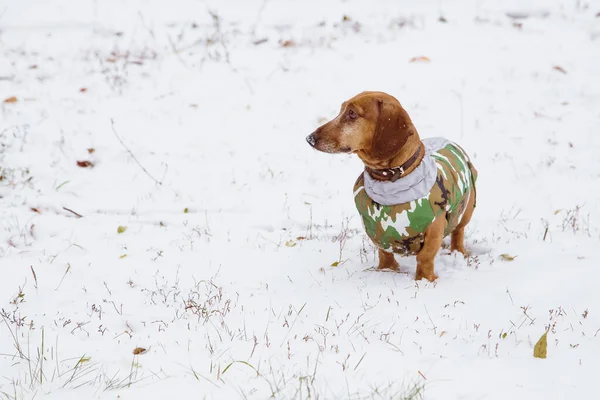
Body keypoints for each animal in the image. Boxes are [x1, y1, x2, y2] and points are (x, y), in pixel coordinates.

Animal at [308, 91, 476, 282]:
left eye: (352, 113)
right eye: (342, 109)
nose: (310, 138)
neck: (389, 180)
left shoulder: (434, 228)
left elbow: (425, 256)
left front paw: (425, 280)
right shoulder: (375, 231)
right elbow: (384, 251)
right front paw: (387, 270)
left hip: (466, 210)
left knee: (458, 231)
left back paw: (458, 252)